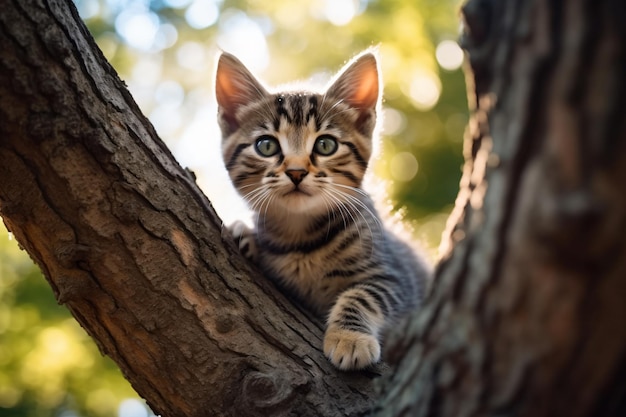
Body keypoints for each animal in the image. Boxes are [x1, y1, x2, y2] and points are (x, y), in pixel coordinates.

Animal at [216, 49, 428, 370]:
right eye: (266, 146)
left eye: (326, 145)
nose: (296, 171)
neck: (301, 237)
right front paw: (243, 232)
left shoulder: (395, 277)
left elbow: (362, 295)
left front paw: (350, 338)